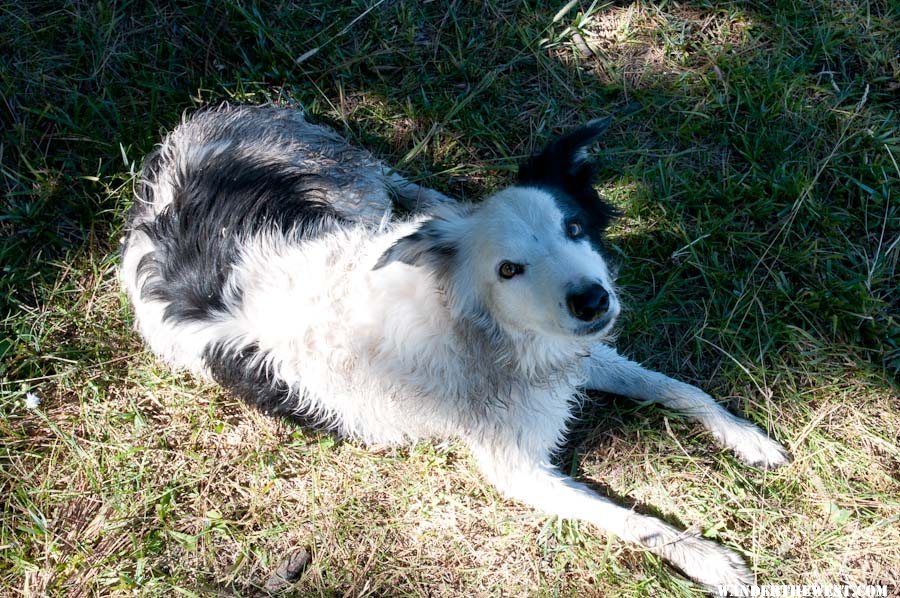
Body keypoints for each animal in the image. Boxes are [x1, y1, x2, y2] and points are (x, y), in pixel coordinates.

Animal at [121, 104, 788, 592]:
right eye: (508, 269)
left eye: (574, 228)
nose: (593, 301)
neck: (469, 323)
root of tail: (199, 124)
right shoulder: (520, 469)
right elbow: (633, 521)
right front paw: (706, 558)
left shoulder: (570, 353)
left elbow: (678, 386)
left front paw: (745, 437)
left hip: (354, 189)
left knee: (413, 193)